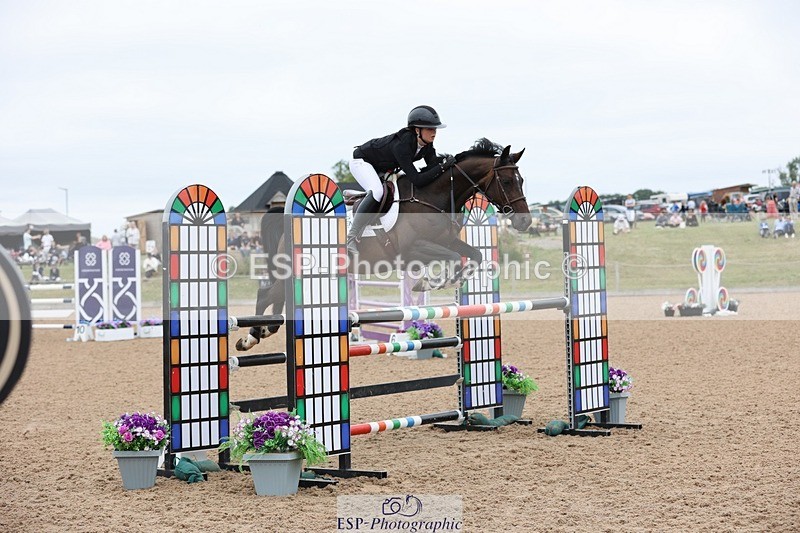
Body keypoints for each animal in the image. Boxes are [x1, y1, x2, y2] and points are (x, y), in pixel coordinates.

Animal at [236, 138, 531, 351]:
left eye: (521, 180)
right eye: (506, 181)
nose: (525, 221)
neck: (433, 196)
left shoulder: (446, 240)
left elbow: (473, 256)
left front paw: (448, 279)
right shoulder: (412, 251)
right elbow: (448, 257)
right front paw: (429, 282)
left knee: (276, 300)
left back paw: (263, 331)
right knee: (265, 295)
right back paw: (250, 338)